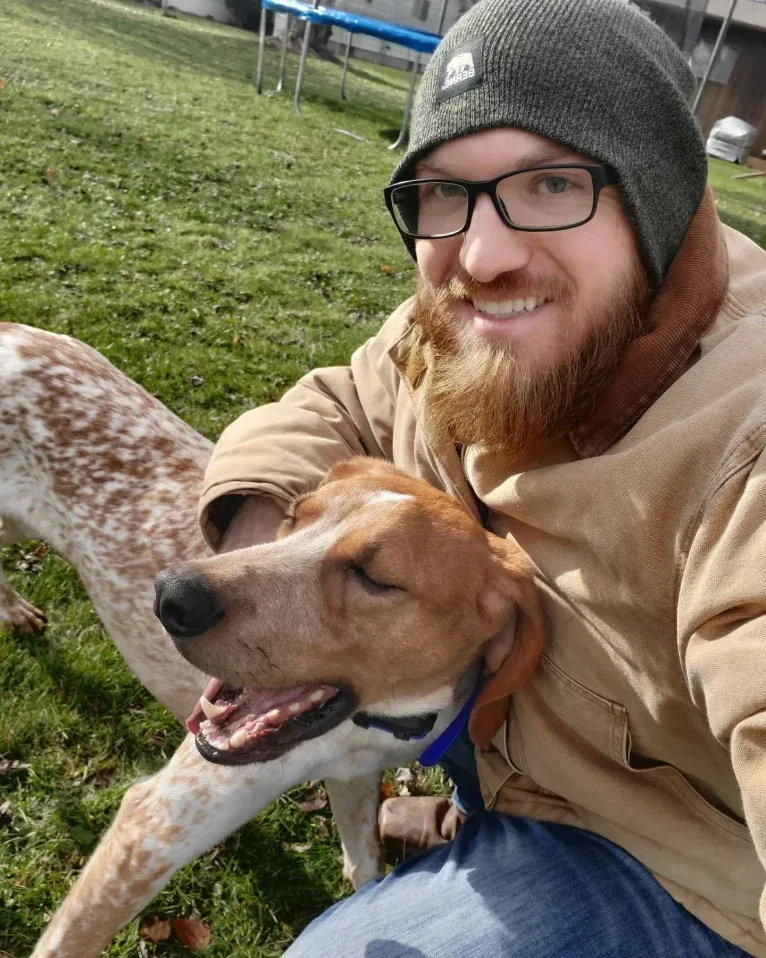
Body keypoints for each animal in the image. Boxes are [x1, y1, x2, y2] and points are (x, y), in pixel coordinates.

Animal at [0, 324, 544, 958]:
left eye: (375, 577)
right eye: (293, 516)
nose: (171, 596)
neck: (370, 722)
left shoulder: (355, 781)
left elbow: (364, 869)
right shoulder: (149, 830)